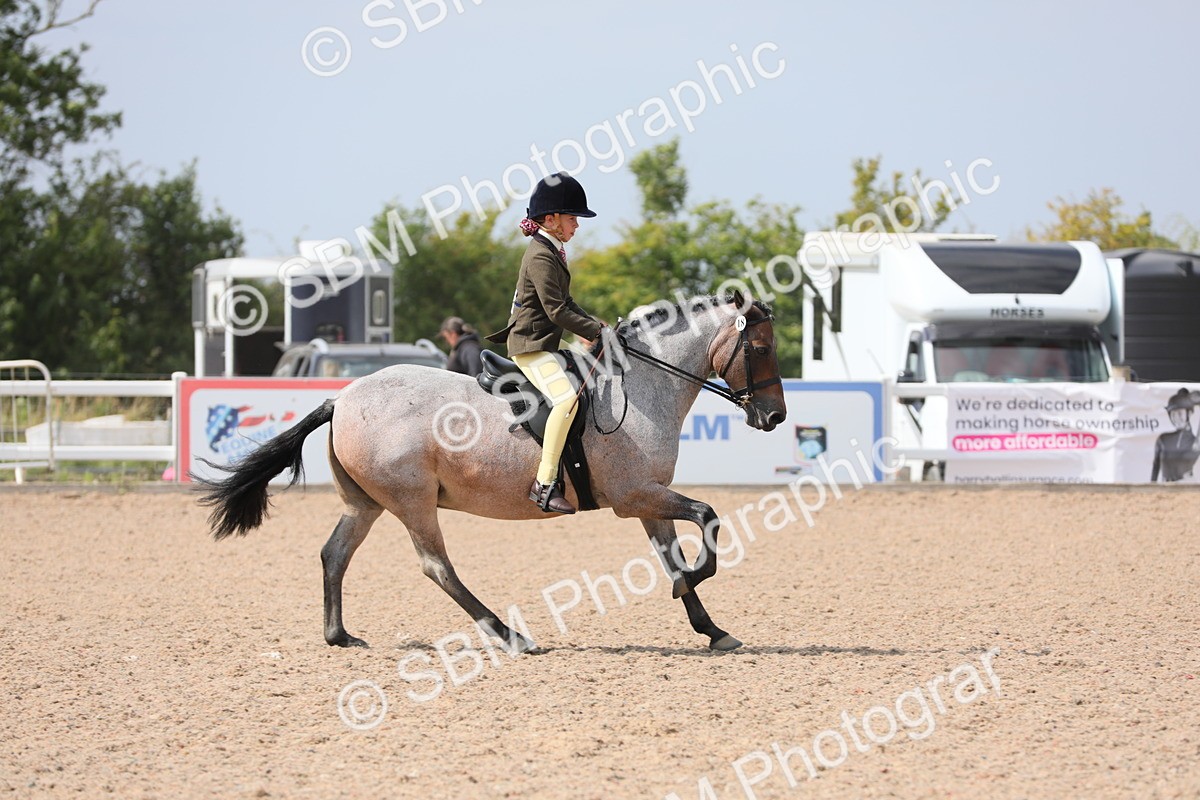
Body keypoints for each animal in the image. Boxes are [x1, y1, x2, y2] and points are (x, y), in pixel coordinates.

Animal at [196, 293, 787, 654]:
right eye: (759, 348)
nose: (775, 417)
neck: (638, 387)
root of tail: (341, 398)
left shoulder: (649, 497)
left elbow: (674, 556)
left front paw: (712, 629)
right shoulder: (635, 494)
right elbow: (708, 517)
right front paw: (696, 589)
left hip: (366, 503)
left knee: (334, 554)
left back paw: (339, 635)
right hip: (412, 502)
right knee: (437, 567)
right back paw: (510, 635)